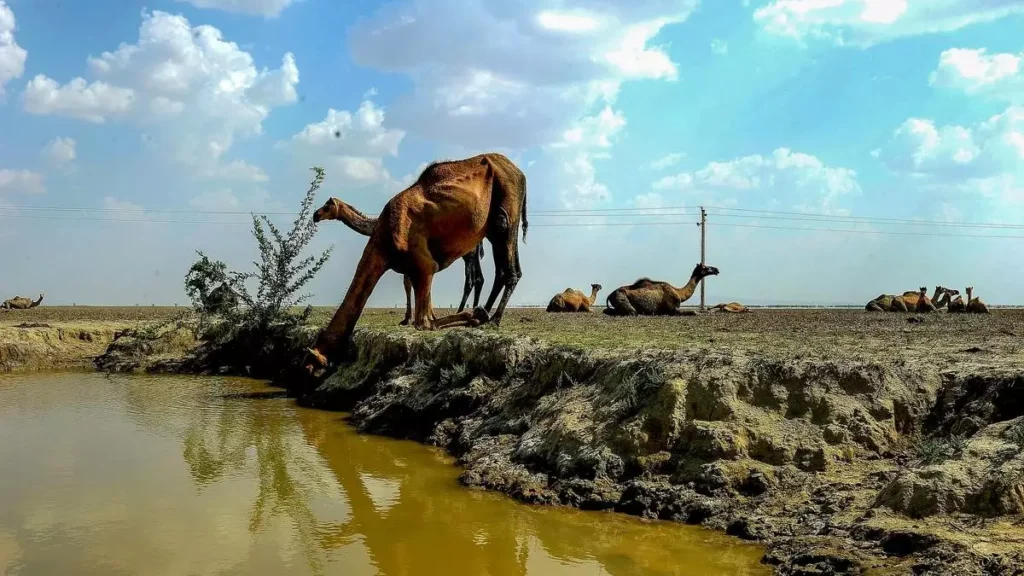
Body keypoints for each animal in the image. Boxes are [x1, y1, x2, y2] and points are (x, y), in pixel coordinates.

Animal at [311, 195, 487, 323]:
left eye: (327, 205)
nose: (315, 215)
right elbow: (410, 284)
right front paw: (415, 317)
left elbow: (409, 284)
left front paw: (409, 319)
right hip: (470, 254)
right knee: (478, 278)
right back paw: (474, 309)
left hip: (469, 254)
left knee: (471, 279)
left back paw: (464, 310)